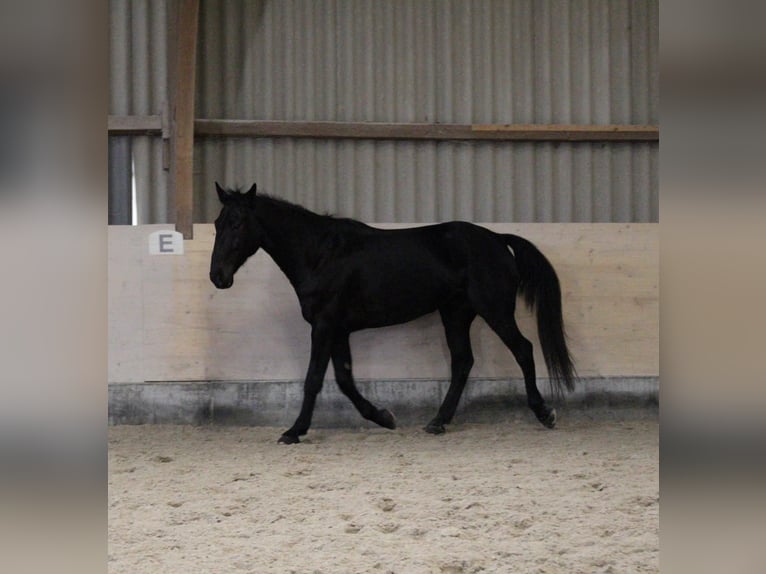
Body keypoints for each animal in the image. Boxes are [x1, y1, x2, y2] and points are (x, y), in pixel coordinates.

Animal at [209, 182, 576, 444]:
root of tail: (498, 239)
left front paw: (294, 431)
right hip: (455, 314)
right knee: (462, 362)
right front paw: (384, 417)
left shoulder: (324, 326)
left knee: (523, 350)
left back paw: (544, 413)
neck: (321, 254)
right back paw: (437, 422)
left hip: (494, 311)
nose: (218, 277)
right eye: (216, 223)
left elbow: (314, 379)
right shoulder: (338, 329)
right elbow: (344, 379)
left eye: (238, 223)